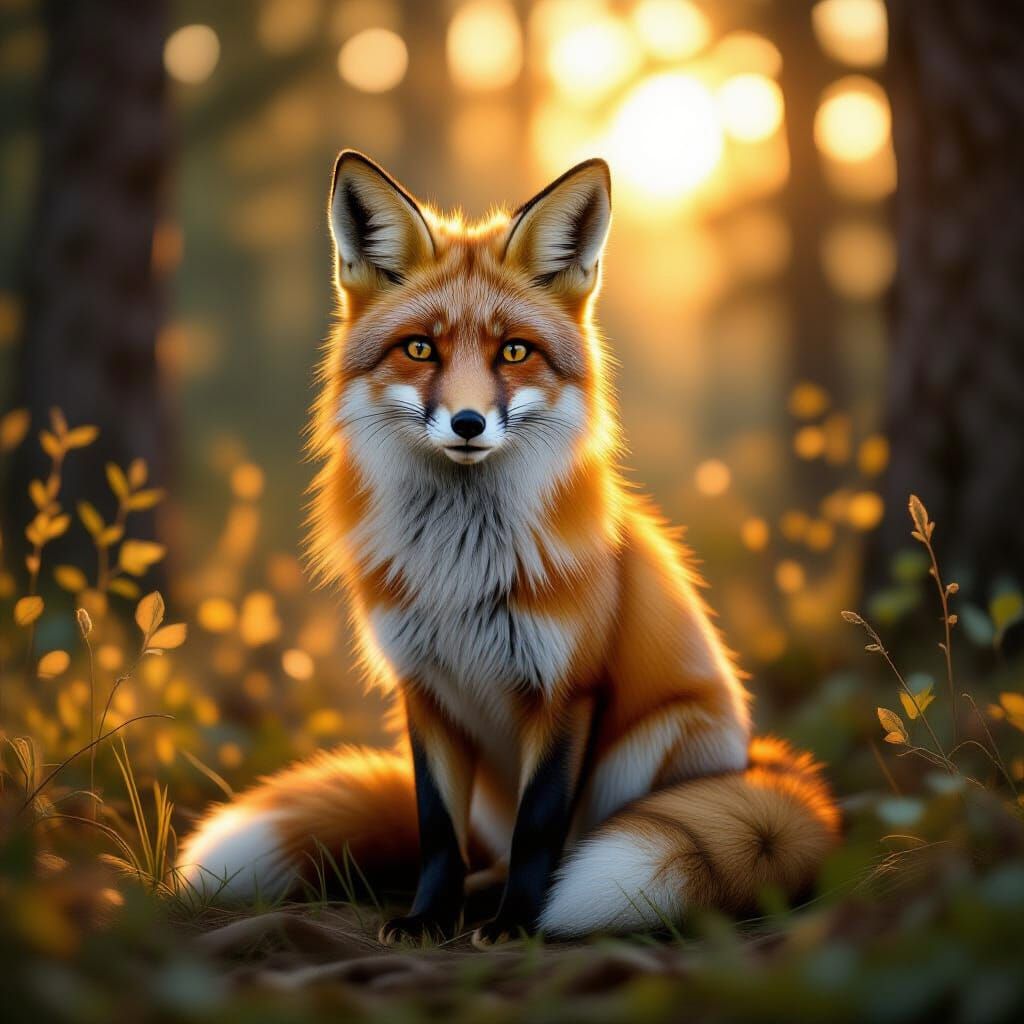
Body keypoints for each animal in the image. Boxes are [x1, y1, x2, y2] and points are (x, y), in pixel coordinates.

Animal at [178, 151, 840, 945]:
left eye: (514, 352)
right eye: (421, 348)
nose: (467, 423)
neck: (460, 567)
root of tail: (762, 759)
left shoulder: (566, 691)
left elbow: (540, 830)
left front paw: (522, 922)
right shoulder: (425, 690)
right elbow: (436, 832)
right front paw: (429, 916)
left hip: (656, 739)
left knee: (573, 837)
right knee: (477, 849)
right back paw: (472, 894)